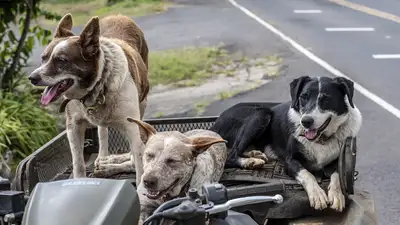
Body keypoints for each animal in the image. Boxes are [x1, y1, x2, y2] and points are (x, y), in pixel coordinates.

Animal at [27, 12, 148, 185]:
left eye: (61, 60)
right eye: (43, 58)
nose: (32, 78)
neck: (96, 87)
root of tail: (119, 15)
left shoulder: (132, 128)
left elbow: (140, 167)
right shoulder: (73, 126)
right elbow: (78, 163)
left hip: (142, 103)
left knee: (133, 155)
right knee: (102, 131)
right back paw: (104, 159)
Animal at [211, 76, 364, 212]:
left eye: (326, 98)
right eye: (303, 97)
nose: (305, 121)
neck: (321, 139)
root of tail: (215, 124)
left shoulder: (337, 161)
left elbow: (337, 175)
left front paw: (337, 195)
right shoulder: (290, 161)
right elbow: (307, 174)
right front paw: (317, 195)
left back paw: (255, 154)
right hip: (260, 114)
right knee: (230, 155)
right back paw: (250, 162)